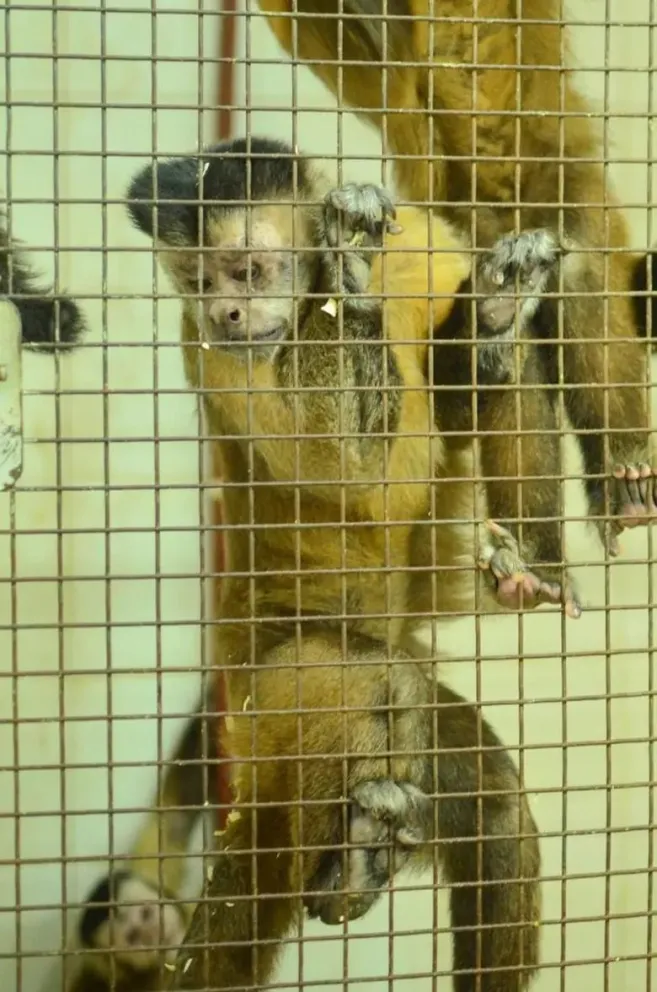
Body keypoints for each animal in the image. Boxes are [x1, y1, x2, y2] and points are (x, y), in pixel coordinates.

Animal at [104, 135, 572, 992]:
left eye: (246, 272)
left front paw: (492, 305)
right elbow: (351, 473)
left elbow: (456, 395)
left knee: (482, 793)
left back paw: (354, 866)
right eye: (198, 281)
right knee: (347, 693)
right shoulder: (212, 353)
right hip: (263, 700)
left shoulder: (421, 245)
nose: (225, 312)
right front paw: (345, 280)